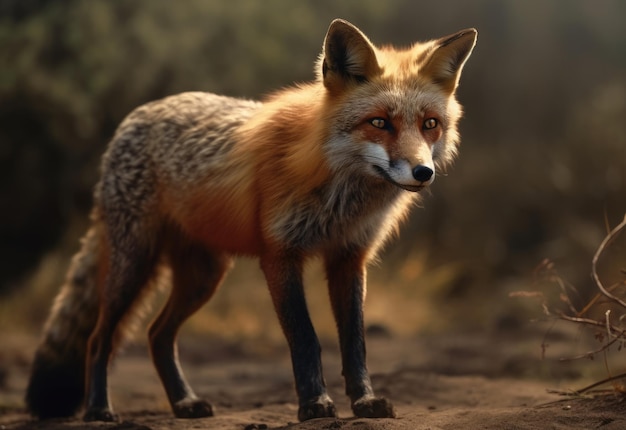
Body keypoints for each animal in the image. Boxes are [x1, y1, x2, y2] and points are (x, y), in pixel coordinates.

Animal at [23, 18, 472, 422]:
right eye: (379, 122)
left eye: (430, 125)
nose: (422, 172)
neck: (340, 196)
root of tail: (136, 117)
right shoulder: (280, 254)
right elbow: (305, 339)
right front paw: (314, 405)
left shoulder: (349, 257)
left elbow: (355, 343)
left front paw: (364, 403)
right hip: (133, 267)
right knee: (100, 339)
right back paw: (98, 409)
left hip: (203, 277)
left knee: (156, 335)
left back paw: (184, 403)